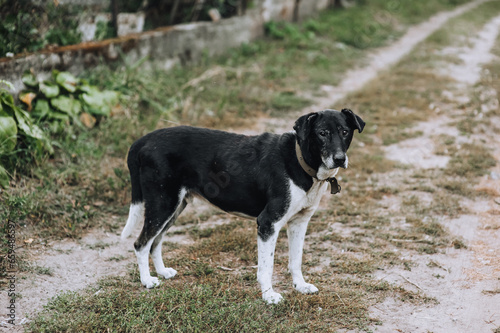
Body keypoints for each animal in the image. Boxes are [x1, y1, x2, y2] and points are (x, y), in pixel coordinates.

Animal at [120, 109, 364, 304]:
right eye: (322, 133)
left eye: (344, 132)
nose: (339, 159)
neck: (300, 160)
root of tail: (142, 141)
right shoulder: (268, 223)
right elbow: (266, 267)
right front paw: (269, 296)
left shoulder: (299, 223)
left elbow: (296, 260)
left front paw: (300, 286)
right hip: (162, 204)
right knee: (141, 243)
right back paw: (147, 281)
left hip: (174, 207)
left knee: (155, 241)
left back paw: (162, 272)